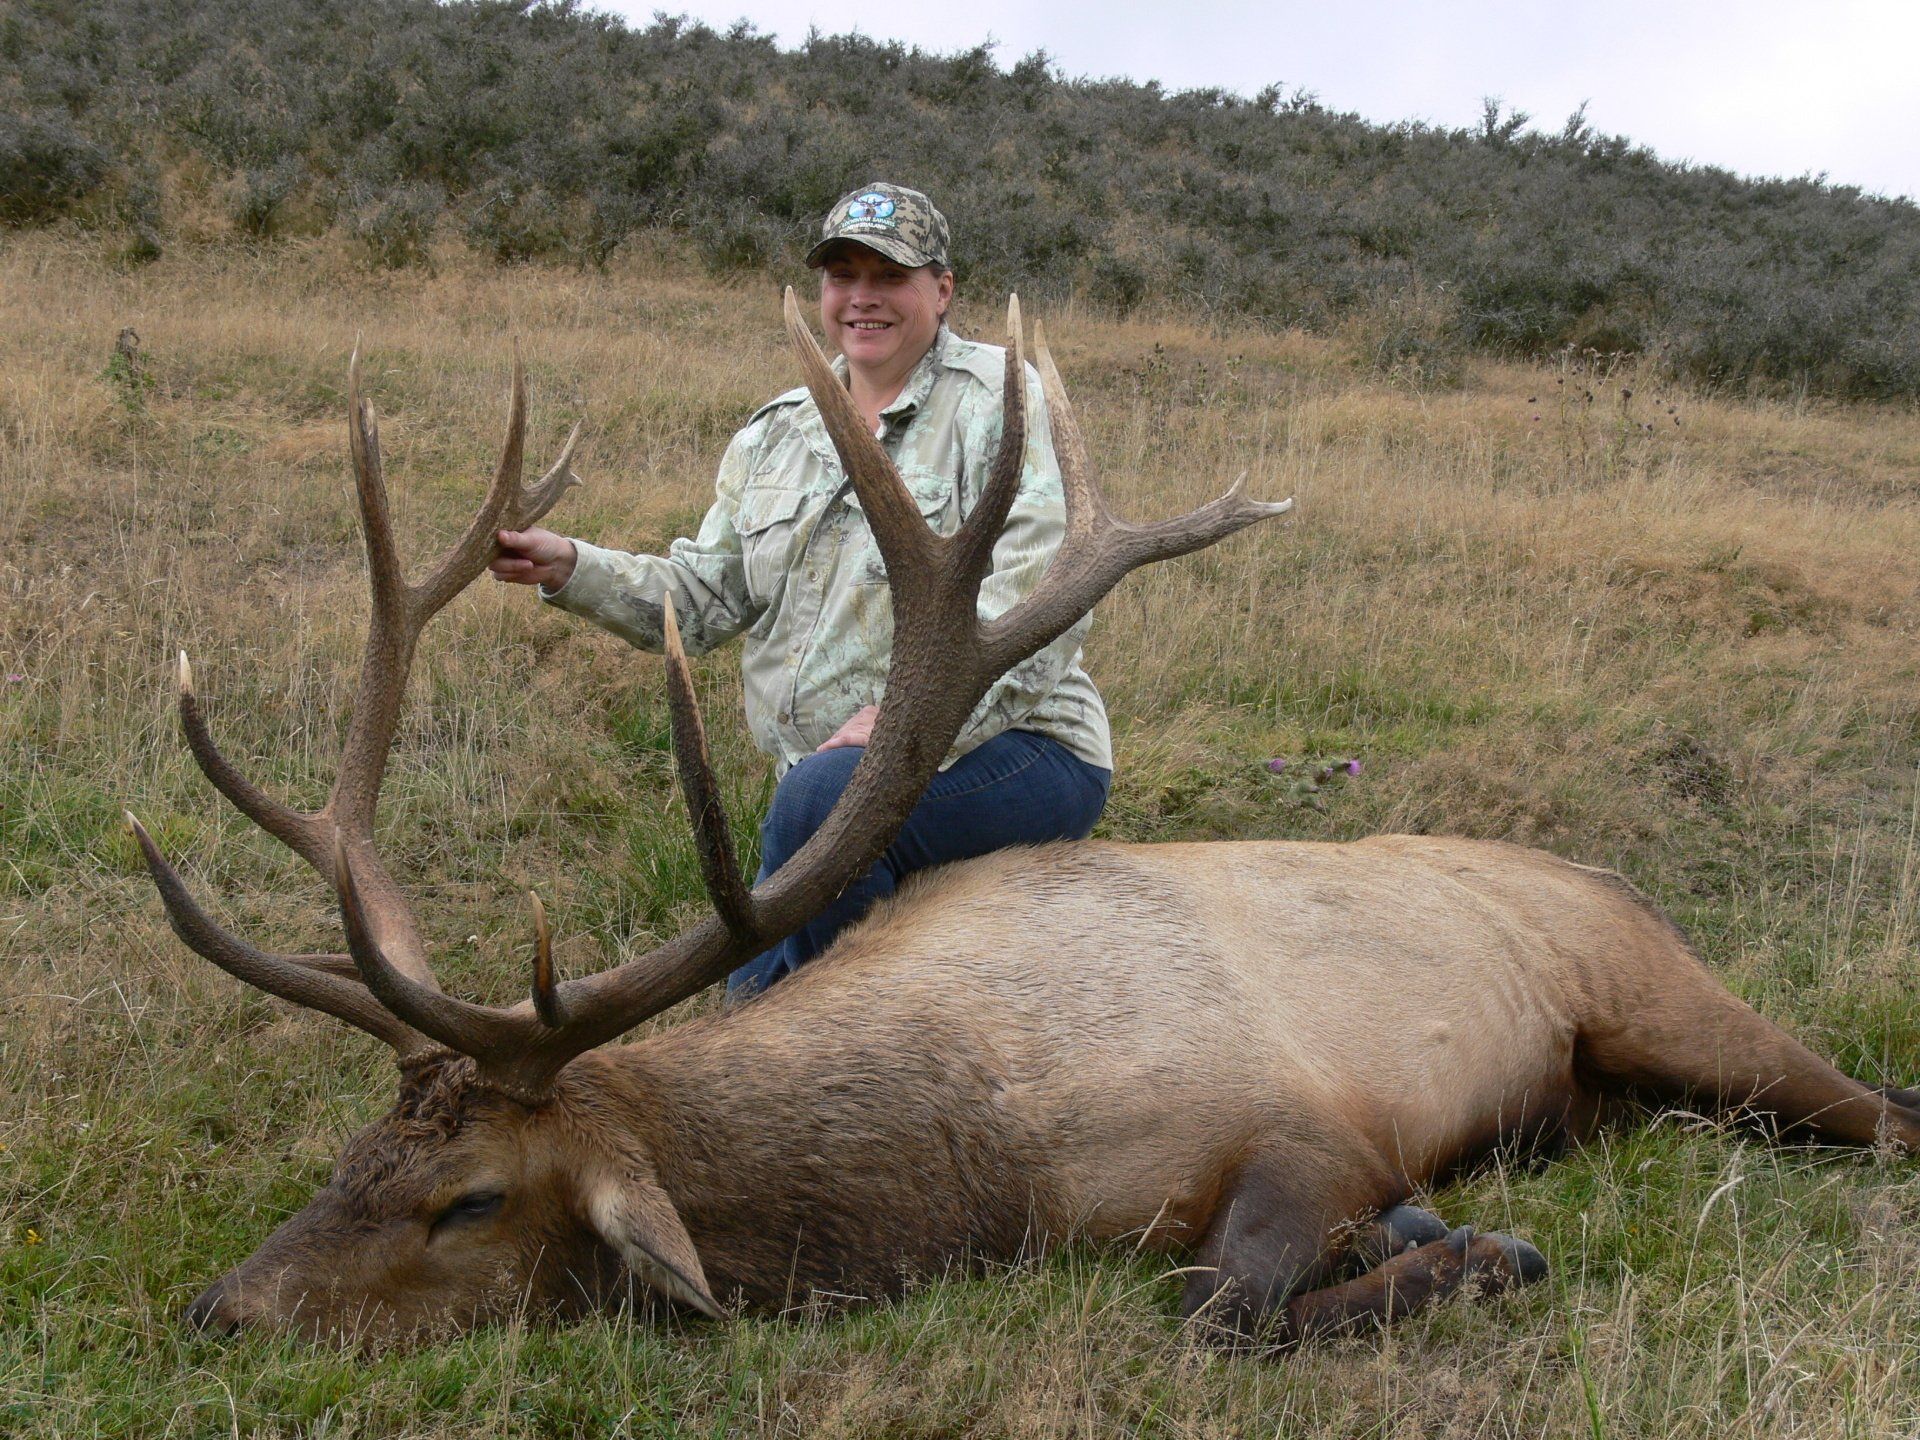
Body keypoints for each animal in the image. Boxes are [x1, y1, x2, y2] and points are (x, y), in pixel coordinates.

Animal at [128, 291, 1920, 1348]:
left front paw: (1477, 1252)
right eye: (351, 1159)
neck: (979, 1162)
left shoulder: (1308, 1121)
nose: (219, 1311)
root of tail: (1612, 874)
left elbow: (1214, 1311)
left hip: (1669, 1001)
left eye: (471, 1202)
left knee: (1875, 1106)